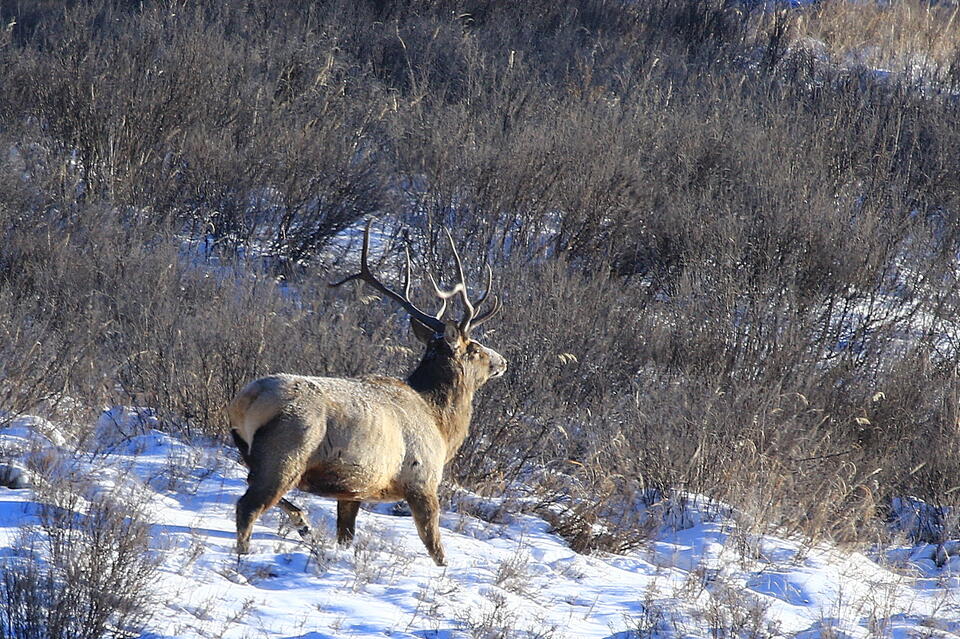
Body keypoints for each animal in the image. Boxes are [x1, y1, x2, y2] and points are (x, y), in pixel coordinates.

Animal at [229, 219, 506, 564]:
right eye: (475, 349)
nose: (502, 361)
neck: (441, 424)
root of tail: (245, 401)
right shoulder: (422, 480)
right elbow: (435, 547)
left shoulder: (354, 489)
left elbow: (346, 535)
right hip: (288, 449)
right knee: (248, 505)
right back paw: (245, 556)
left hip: (250, 451)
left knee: (254, 488)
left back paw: (303, 524)